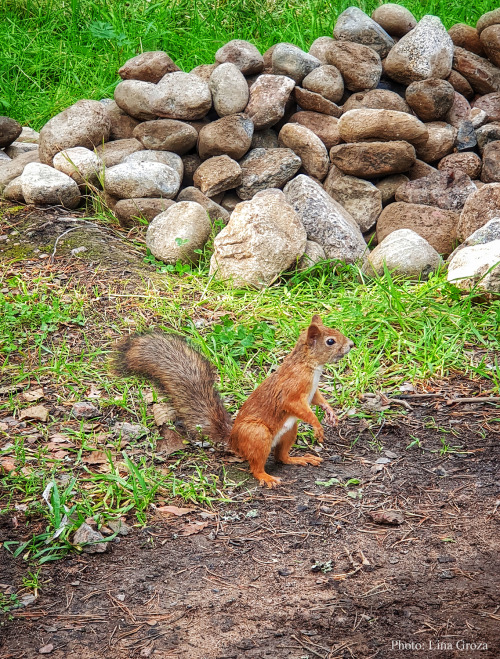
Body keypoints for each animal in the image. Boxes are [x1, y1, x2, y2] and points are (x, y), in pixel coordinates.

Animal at [114, 314, 354, 490]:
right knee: (256, 465)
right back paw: (266, 477)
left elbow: (318, 400)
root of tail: (233, 440)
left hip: (288, 431)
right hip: (258, 434)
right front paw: (317, 425)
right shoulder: (291, 391)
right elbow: (298, 407)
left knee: (281, 457)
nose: (351, 344)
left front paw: (330, 412)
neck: (309, 366)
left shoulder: (311, 393)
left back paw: (299, 459)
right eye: (330, 341)